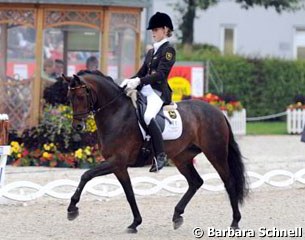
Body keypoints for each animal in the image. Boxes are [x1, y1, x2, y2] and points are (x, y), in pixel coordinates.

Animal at [63, 70, 247, 233]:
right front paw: (135, 223)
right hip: (182, 158)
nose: (77, 126)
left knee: (229, 182)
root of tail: (218, 112)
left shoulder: (117, 161)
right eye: (69, 98)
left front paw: (72, 208)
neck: (116, 113)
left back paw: (235, 222)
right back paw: (177, 215)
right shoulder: (118, 166)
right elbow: (129, 193)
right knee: (195, 182)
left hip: (215, 153)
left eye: (81, 96)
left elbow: (86, 175)